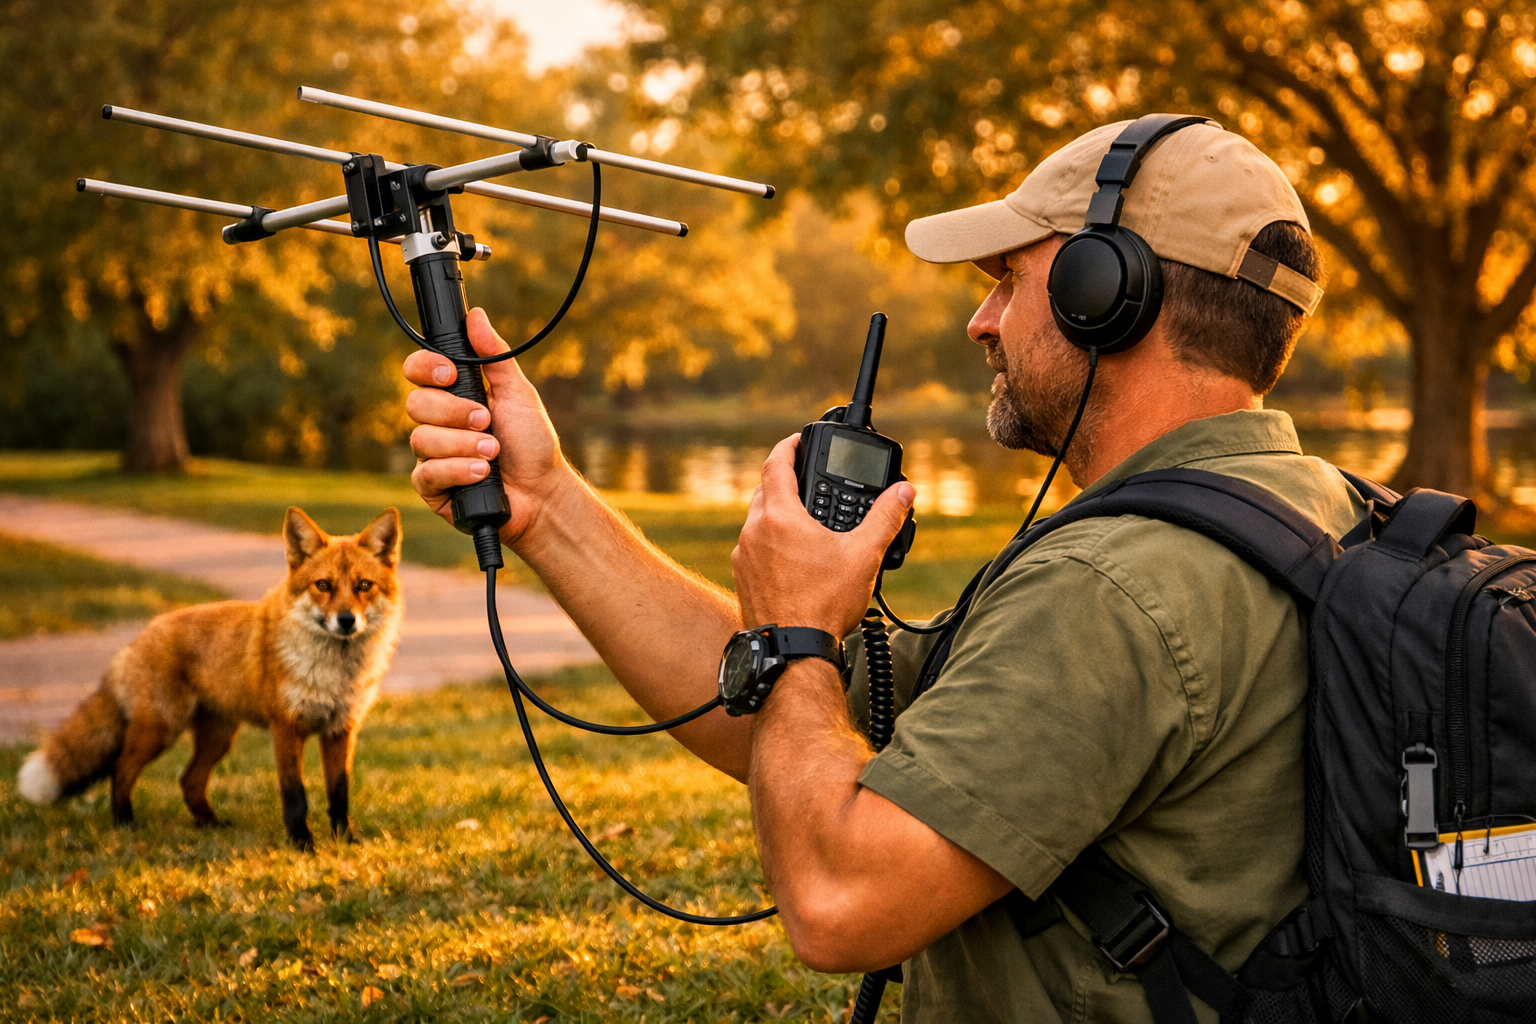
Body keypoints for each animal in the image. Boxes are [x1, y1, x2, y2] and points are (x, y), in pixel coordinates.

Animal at [16, 506, 404, 850]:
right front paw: (302, 844)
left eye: (363, 585)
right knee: (120, 768)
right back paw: (125, 822)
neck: (334, 672)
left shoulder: (340, 729)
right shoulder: (286, 727)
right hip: (161, 729)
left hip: (218, 738)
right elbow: (296, 796)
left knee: (188, 780)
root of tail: (140, 636)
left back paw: (210, 824)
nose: (346, 620)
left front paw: (346, 841)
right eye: (323, 585)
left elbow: (339, 794)